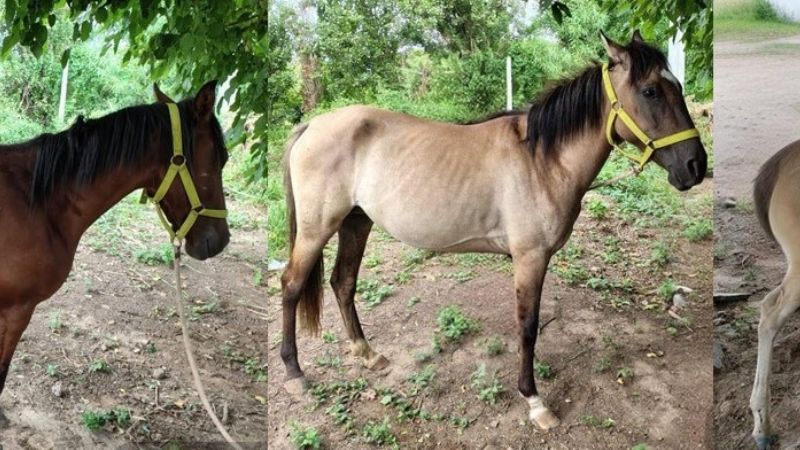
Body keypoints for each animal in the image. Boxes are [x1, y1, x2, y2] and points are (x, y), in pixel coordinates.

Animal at [279, 31, 707, 429]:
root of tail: (312, 126)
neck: (541, 159)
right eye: (650, 91)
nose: (695, 166)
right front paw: (534, 402)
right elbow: (528, 327)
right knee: (292, 286)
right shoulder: (530, 258)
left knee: (343, 282)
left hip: (356, 221)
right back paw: (295, 374)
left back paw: (367, 354)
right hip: (317, 230)